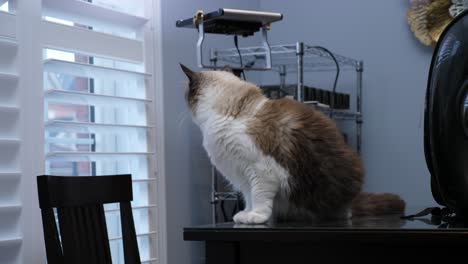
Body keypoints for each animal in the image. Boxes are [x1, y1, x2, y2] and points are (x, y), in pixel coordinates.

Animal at [179, 64, 406, 225]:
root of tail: (351, 202)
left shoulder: (260, 171)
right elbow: (248, 196)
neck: (230, 113)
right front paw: (246, 214)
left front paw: (256, 217)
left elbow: (259, 197)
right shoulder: (241, 174)